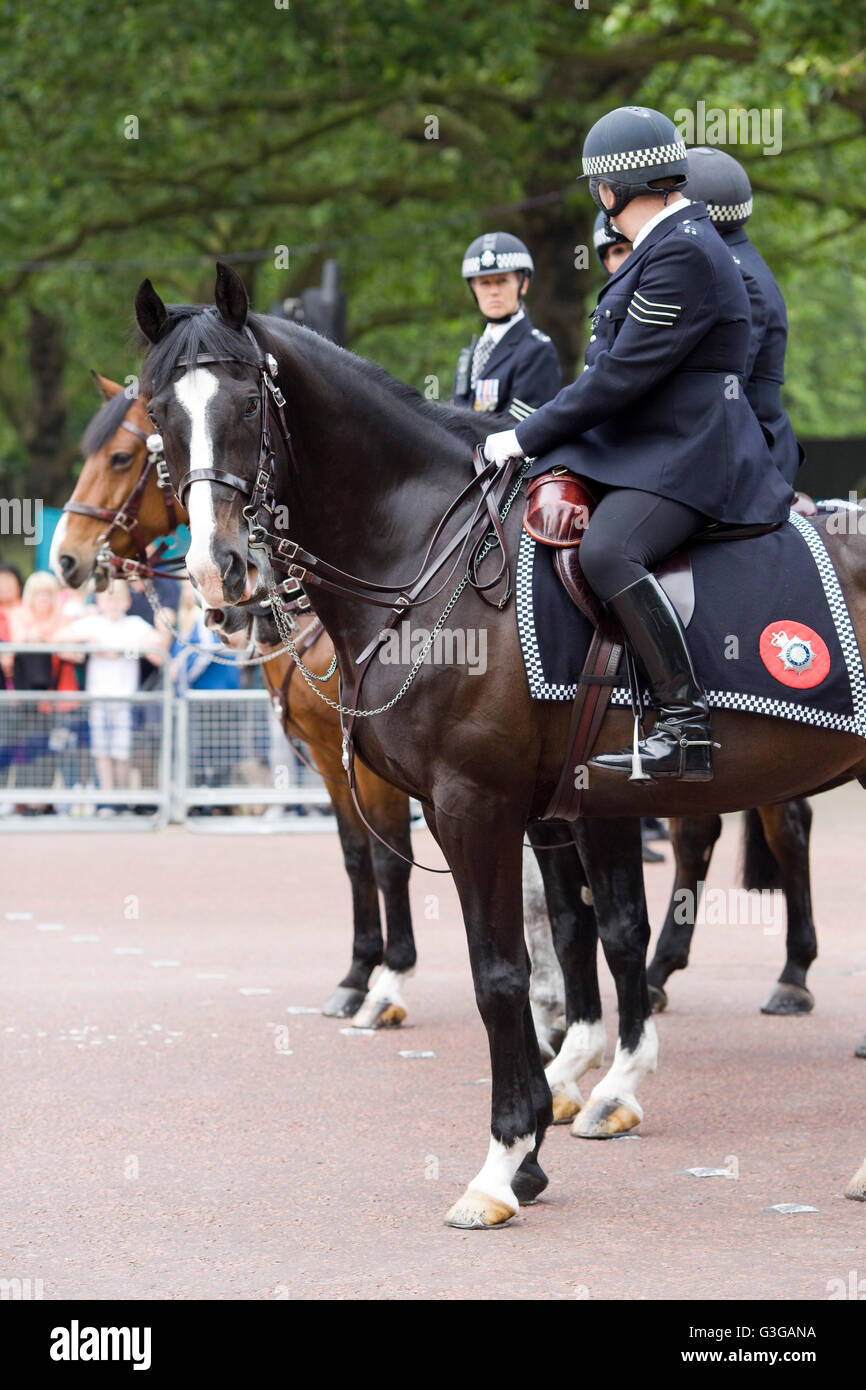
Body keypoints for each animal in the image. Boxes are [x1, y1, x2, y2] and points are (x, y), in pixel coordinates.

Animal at [135, 265, 866, 1223]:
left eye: (250, 401)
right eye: (154, 412)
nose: (221, 571)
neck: (426, 554)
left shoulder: (473, 805)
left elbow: (504, 970)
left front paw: (505, 1156)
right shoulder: (559, 805)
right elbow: (587, 929)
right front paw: (567, 1109)